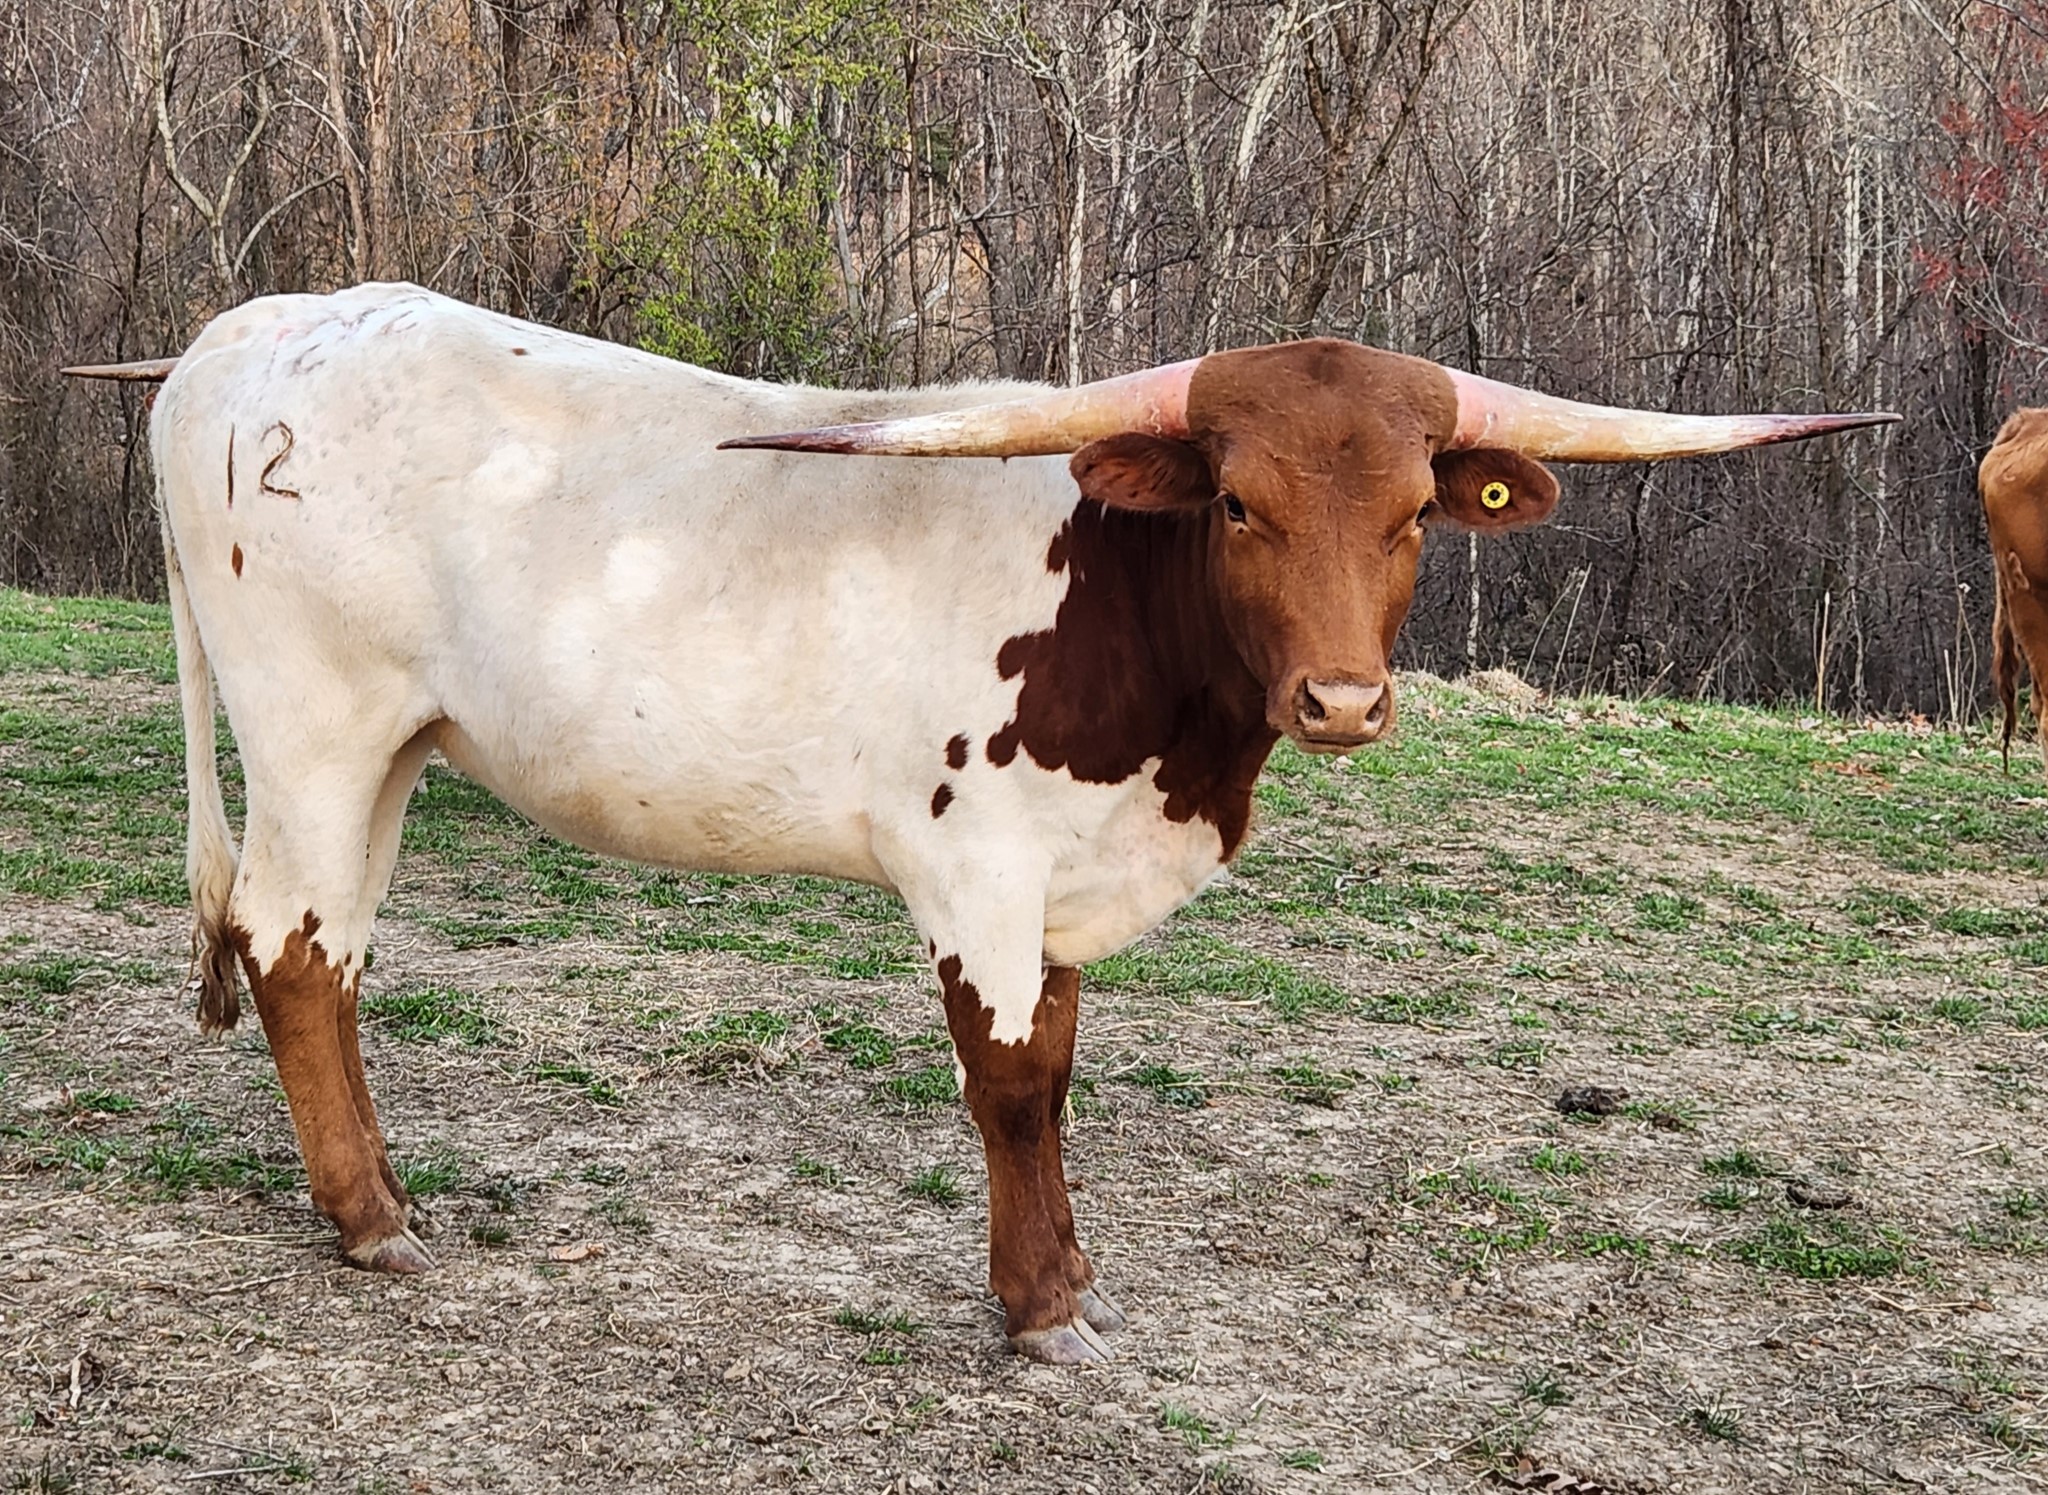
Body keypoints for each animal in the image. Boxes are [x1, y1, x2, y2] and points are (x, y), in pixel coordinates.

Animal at [65, 283, 1895, 1362]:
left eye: (1408, 514)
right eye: (1241, 502)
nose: (1343, 701)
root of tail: (243, 334)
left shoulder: (1065, 879)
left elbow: (1062, 1066)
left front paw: (1068, 1280)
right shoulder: (976, 863)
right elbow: (1013, 1085)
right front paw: (1035, 1313)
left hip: (394, 749)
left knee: (325, 952)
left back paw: (370, 1195)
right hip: (312, 728)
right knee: (292, 949)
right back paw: (373, 1226)